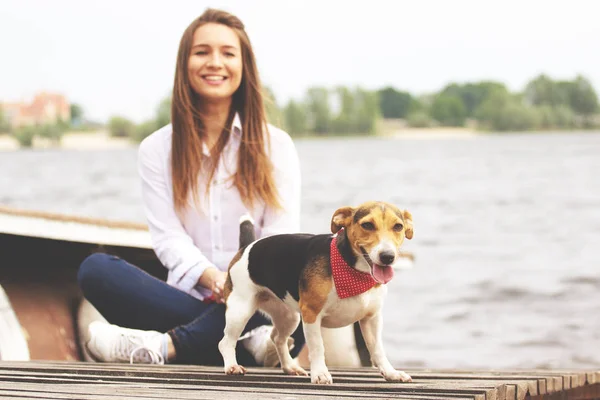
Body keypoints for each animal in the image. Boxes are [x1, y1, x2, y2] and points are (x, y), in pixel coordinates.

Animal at [219, 202, 412, 382]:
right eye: (367, 225)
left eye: (398, 226)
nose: (388, 257)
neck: (354, 272)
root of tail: (247, 247)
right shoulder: (312, 314)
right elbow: (318, 347)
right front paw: (320, 373)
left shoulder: (371, 319)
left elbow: (378, 349)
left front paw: (391, 373)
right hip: (240, 311)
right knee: (226, 342)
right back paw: (232, 366)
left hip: (289, 316)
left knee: (277, 338)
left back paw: (289, 367)